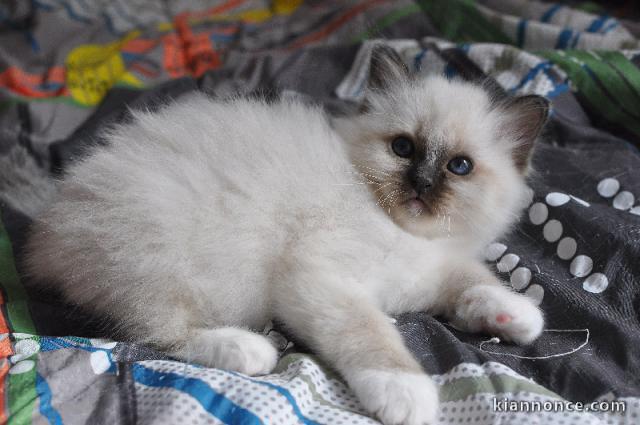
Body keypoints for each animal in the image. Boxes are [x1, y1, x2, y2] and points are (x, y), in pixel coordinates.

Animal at [23, 46, 544, 424]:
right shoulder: (318, 277)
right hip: (173, 264)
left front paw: (516, 317)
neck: (404, 232)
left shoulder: (435, 270)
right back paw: (251, 350)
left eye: (459, 167)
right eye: (403, 148)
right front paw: (406, 393)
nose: (420, 185)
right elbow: (373, 334)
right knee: (152, 338)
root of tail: (49, 230)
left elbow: (475, 281)